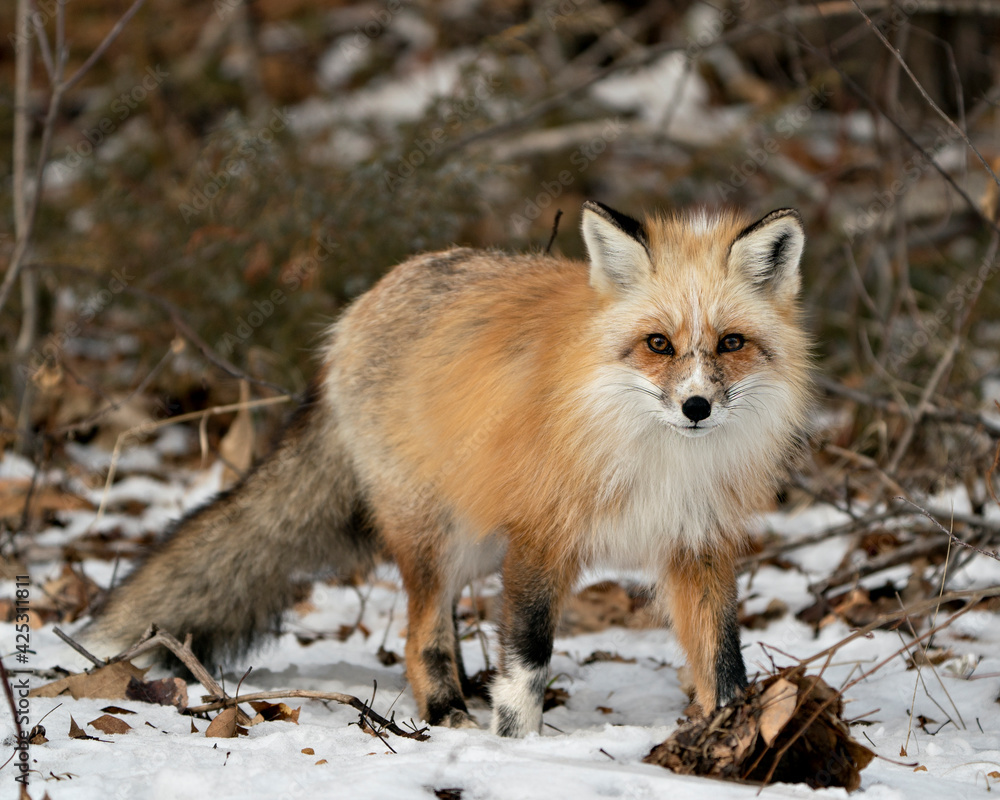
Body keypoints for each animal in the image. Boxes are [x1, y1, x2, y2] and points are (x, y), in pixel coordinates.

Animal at [89, 201, 811, 737]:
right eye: (658, 343)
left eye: (731, 343)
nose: (696, 406)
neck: (657, 455)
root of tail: (359, 310)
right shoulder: (540, 539)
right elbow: (527, 660)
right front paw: (516, 744)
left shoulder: (696, 542)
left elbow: (722, 659)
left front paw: (734, 737)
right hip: (439, 535)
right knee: (421, 635)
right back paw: (447, 710)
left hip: (477, 541)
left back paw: (465, 691)